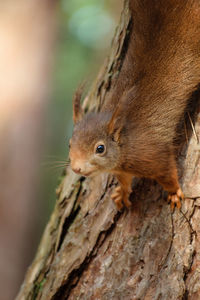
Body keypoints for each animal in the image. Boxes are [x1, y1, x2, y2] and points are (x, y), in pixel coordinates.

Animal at [69, 0, 200, 211]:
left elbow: (168, 174)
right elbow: (123, 180)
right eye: (70, 143)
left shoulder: (154, 155)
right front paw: (122, 193)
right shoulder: (121, 169)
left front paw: (174, 192)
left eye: (100, 149)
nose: (76, 168)